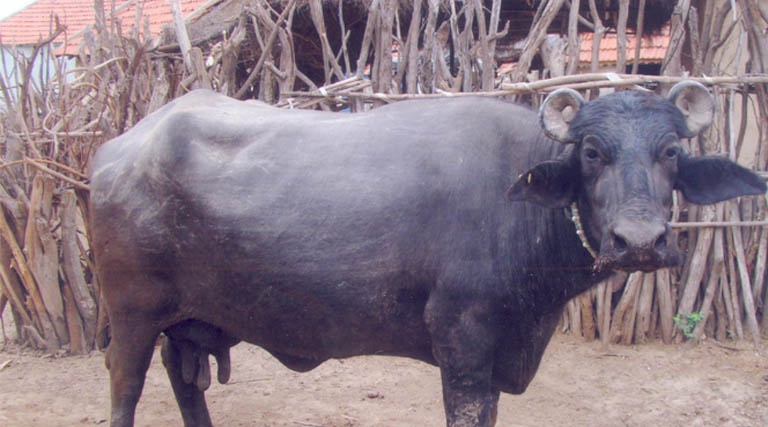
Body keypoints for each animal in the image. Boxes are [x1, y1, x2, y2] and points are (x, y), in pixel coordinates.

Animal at [90, 81, 765, 426]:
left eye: (671, 151)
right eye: (593, 152)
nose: (640, 241)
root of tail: (118, 150)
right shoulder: (462, 339)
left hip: (186, 322)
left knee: (185, 382)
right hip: (132, 314)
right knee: (125, 384)